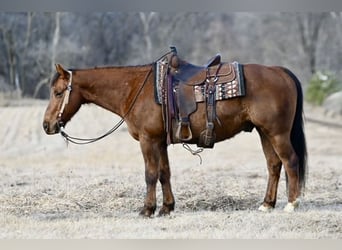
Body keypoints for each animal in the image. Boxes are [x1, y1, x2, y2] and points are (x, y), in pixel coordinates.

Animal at [42, 54, 308, 217]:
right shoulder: (160, 141)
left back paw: (291, 204)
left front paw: (147, 209)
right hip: (265, 133)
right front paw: (167, 208)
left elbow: (150, 174)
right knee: (274, 165)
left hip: (278, 133)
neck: (135, 89)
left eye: (58, 93)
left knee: (290, 161)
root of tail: (279, 71)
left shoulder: (148, 141)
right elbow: (164, 174)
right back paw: (267, 204)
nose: (47, 125)